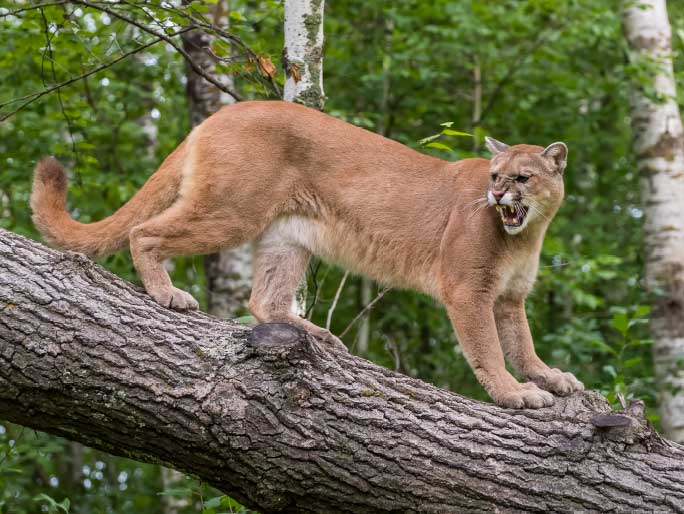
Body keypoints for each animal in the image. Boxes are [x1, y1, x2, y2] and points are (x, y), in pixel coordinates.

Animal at [32, 98, 584, 406]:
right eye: (494, 175)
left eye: (522, 178)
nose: (497, 195)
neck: (525, 232)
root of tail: (221, 113)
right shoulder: (468, 290)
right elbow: (489, 350)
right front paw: (515, 395)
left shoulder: (508, 298)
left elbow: (522, 344)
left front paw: (551, 378)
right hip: (233, 209)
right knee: (144, 232)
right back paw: (169, 295)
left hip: (286, 237)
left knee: (265, 300)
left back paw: (316, 334)